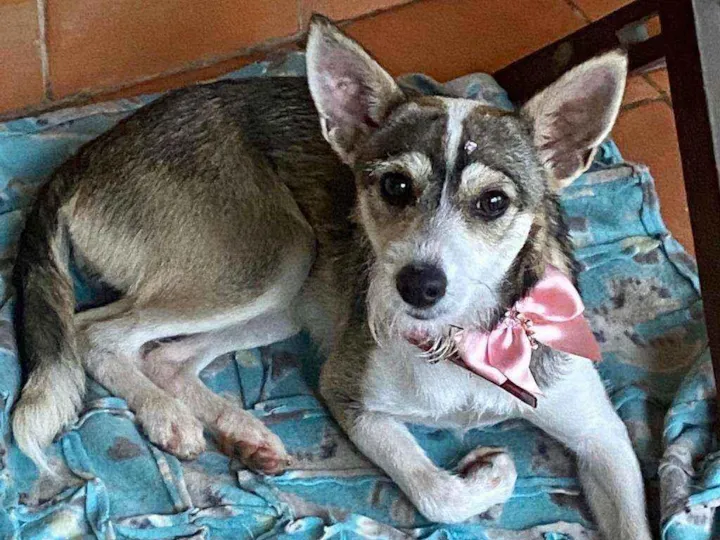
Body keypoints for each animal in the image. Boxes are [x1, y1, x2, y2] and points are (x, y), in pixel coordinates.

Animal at [11, 15, 651, 539]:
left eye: (493, 202)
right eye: (395, 185)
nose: (418, 286)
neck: (463, 340)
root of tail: (86, 156)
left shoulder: (604, 438)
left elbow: (633, 520)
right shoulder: (349, 396)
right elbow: (434, 489)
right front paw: (489, 477)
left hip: (288, 296)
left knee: (166, 355)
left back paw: (241, 432)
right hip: (270, 258)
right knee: (95, 332)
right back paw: (168, 417)